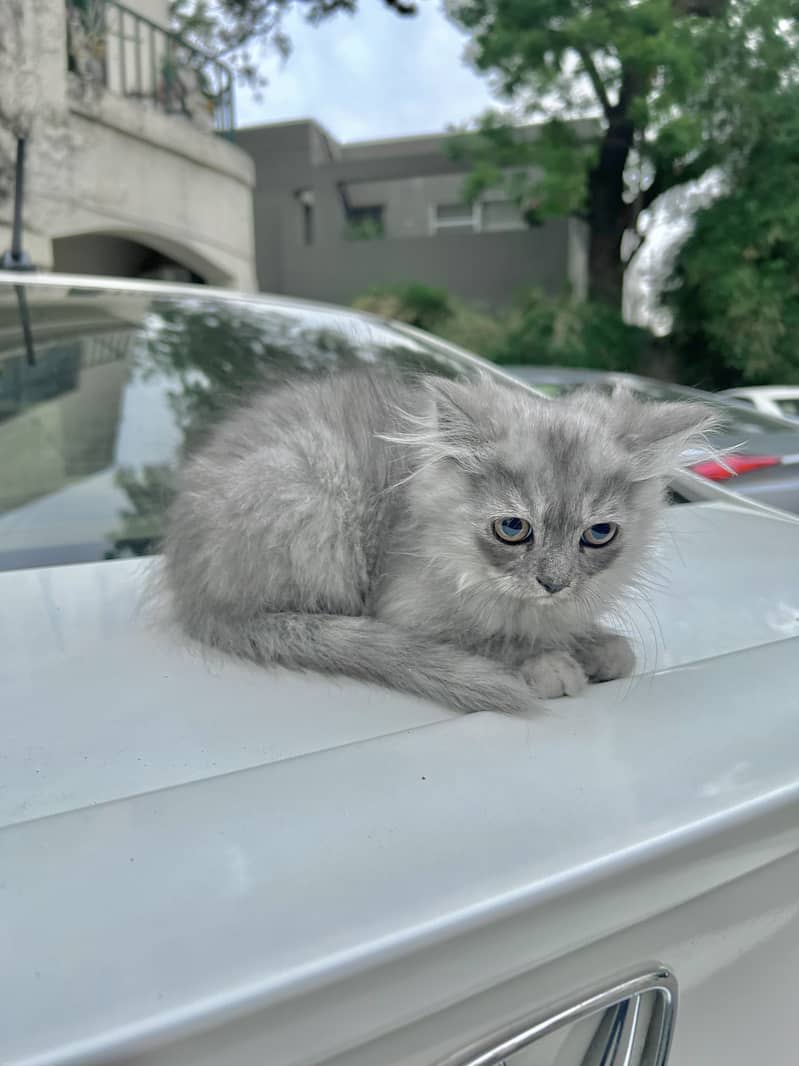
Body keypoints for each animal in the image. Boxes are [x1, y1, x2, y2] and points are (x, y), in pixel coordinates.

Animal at [166, 370, 715, 712]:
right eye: (513, 528)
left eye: (598, 534)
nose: (554, 583)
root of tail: (189, 586)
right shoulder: (406, 608)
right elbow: (485, 638)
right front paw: (547, 660)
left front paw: (595, 644)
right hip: (309, 491)